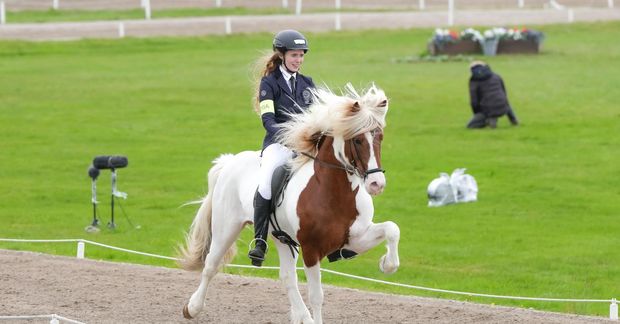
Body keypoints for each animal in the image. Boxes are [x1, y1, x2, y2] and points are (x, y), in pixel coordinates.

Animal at [179, 83, 402, 324]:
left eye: (380, 137)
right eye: (358, 140)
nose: (376, 184)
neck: (335, 194)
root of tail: (230, 161)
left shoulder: (354, 239)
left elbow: (392, 229)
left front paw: (387, 264)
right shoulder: (311, 250)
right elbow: (316, 295)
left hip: (282, 238)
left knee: (287, 277)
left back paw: (302, 316)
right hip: (226, 228)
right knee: (211, 265)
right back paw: (192, 308)